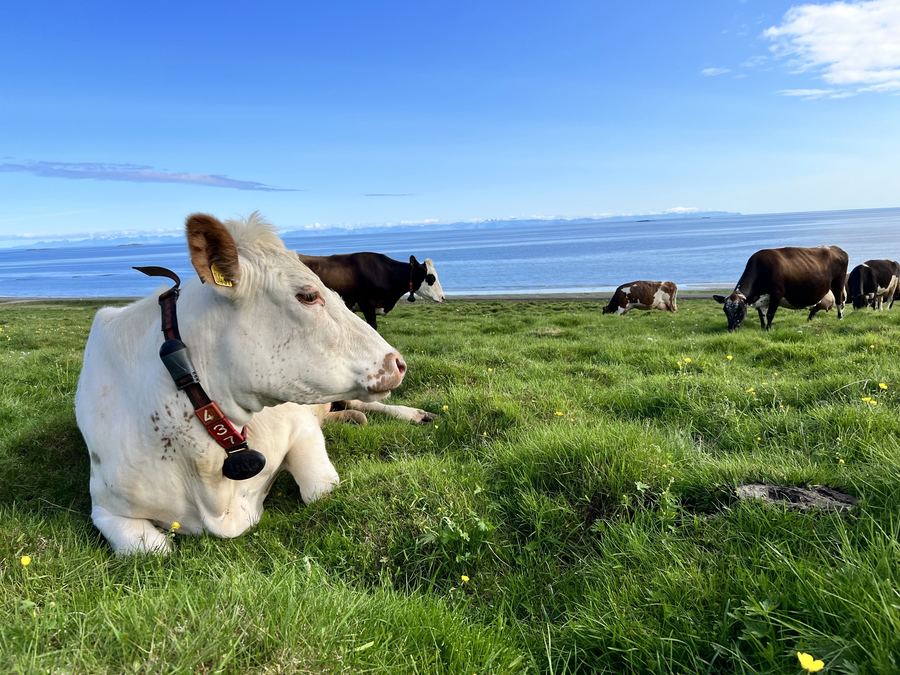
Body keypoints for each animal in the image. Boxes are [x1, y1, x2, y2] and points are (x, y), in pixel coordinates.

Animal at [75, 213, 406, 554]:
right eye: (308, 295)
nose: (397, 362)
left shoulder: (300, 427)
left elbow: (318, 488)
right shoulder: (105, 506)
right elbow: (151, 549)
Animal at [713, 245, 848, 331]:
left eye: (740, 310)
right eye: (725, 310)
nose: (731, 329)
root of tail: (836, 248)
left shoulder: (776, 294)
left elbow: (770, 314)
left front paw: (768, 329)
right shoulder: (761, 298)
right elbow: (761, 315)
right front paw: (763, 328)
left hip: (838, 283)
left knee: (839, 301)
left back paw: (840, 318)